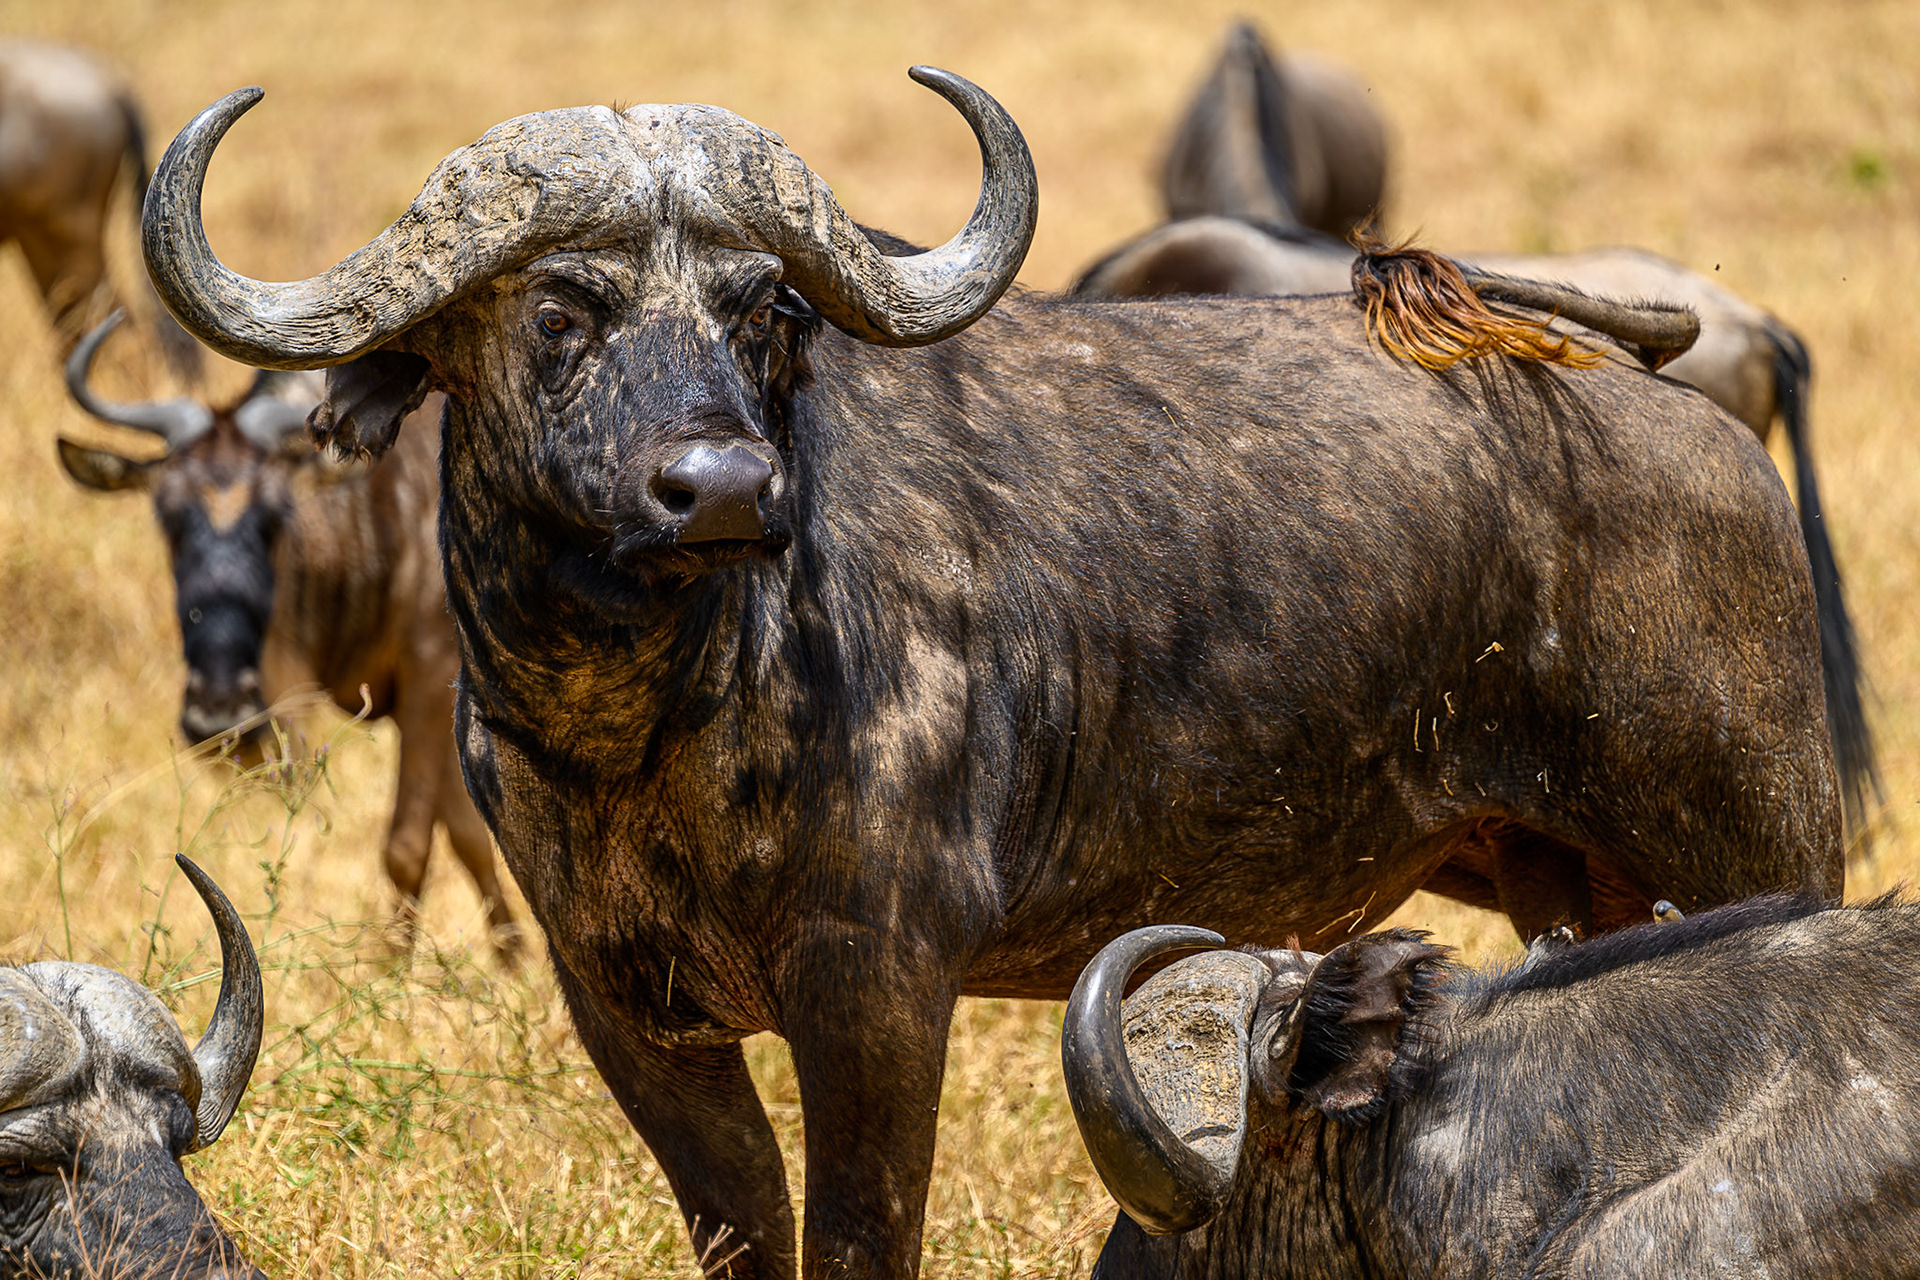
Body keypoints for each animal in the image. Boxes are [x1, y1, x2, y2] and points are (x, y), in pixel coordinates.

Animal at [59, 313, 519, 961]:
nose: (220, 715)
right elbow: (467, 831)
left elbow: (409, 843)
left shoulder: (432, 679)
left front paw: (394, 972)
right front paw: (512, 960)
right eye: (167, 515)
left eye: (276, 515)